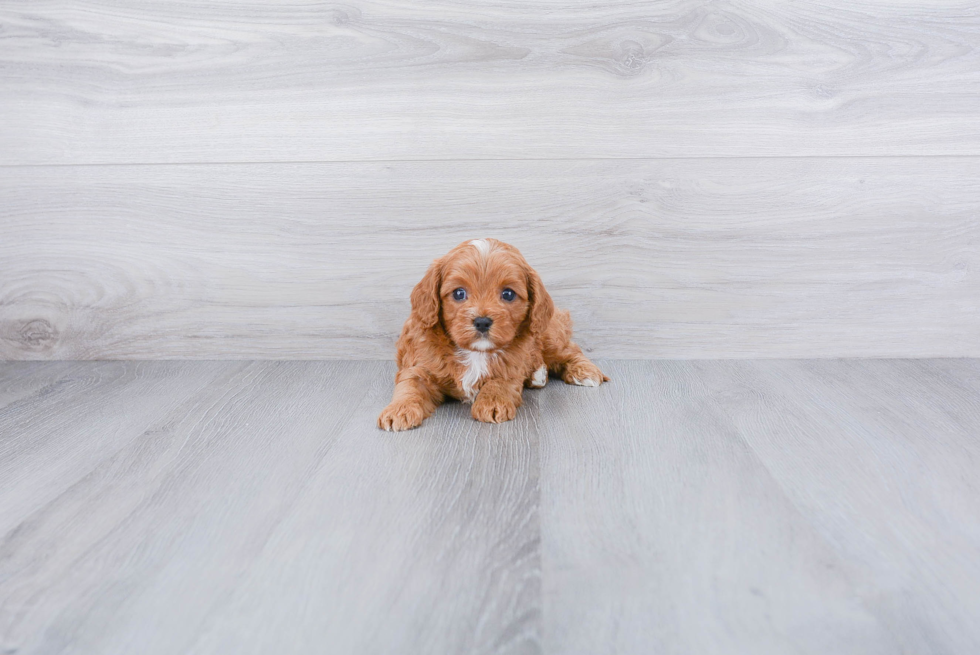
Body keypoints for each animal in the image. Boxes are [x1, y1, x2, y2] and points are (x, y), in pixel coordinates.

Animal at [378, 238, 608, 434]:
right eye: (459, 293)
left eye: (508, 294)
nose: (482, 321)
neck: (475, 352)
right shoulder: (418, 365)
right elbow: (409, 386)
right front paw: (398, 410)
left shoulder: (512, 364)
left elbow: (500, 380)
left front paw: (492, 403)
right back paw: (538, 375)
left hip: (548, 333)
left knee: (570, 350)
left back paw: (584, 371)